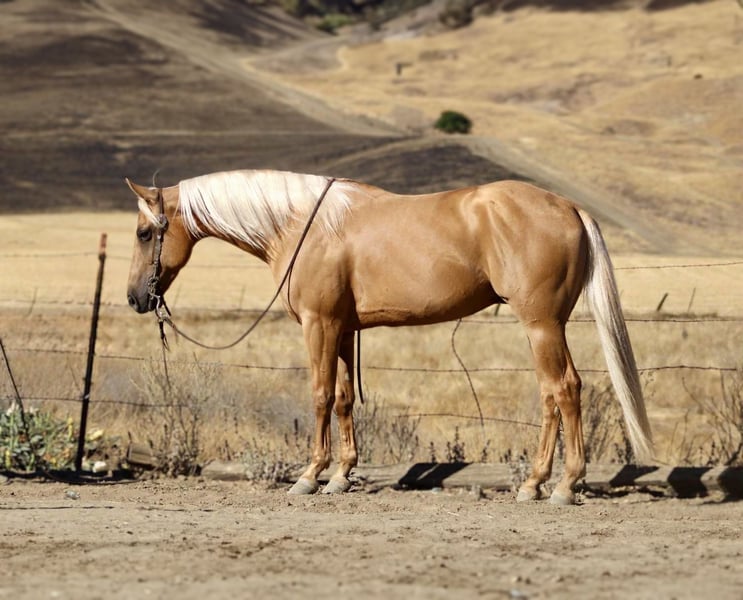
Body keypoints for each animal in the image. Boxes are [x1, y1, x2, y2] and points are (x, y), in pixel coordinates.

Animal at [125, 169, 653, 504]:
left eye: (143, 233)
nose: (135, 298)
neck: (302, 225)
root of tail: (569, 206)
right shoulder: (342, 329)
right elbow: (342, 399)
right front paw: (340, 476)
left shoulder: (319, 324)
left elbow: (319, 395)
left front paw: (309, 476)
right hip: (543, 329)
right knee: (551, 396)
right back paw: (536, 483)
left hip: (542, 325)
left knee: (563, 390)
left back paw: (562, 486)